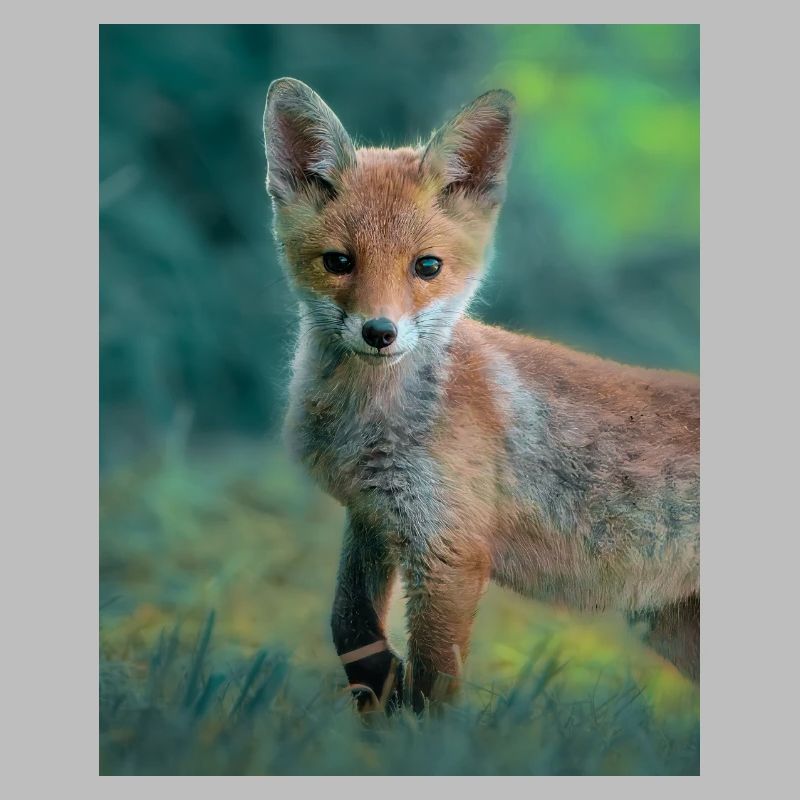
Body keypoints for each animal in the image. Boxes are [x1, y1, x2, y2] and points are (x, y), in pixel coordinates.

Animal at [262, 77, 699, 713]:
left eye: (427, 266)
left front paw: (418, 732)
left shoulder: (451, 550)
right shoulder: (374, 515)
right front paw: (379, 691)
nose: (379, 332)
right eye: (338, 262)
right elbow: (350, 626)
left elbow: (434, 684)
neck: (369, 424)